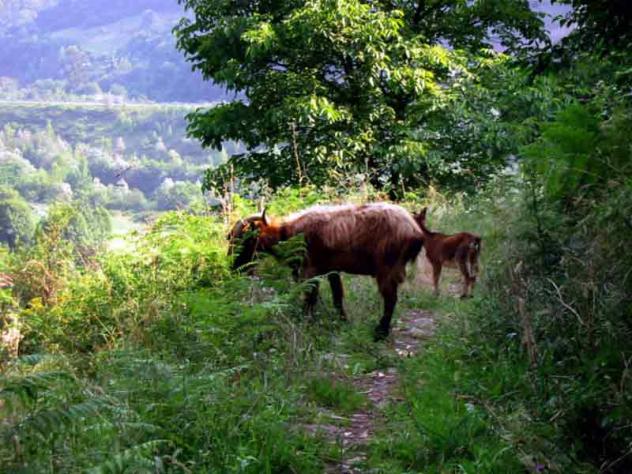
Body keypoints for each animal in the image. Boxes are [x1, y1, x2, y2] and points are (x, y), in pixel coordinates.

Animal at [228, 203, 425, 340]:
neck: (288, 234)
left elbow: (310, 298)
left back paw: (381, 332)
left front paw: (306, 323)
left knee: (390, 299)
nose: (234, 267)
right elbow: (337, 296)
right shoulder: (332, 270)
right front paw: (343, 321)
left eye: (245, 238)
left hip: (387, 268)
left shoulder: (310, 270)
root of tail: (416, 231)